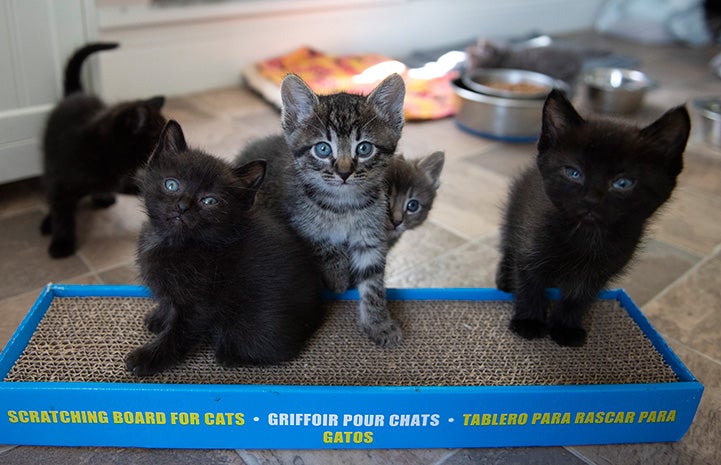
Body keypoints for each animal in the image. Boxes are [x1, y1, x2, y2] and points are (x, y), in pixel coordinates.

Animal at [126, 120, 324, 376]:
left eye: (210, 201)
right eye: (171, 185)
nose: (183, 206)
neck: (171, 241)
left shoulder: (200, 304)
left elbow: (179, 334)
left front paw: (148, 358)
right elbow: (170, 305)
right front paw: (159, 317)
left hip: (252, 326)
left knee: (274, 350)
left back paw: (228, 354)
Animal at [236, 72, 404, 346]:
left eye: (364, 148)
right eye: (323, 149)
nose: (344, 173)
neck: (344, 205)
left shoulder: (370, 236)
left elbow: (372, 281)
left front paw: (378, 323)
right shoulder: (300, 223)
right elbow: (325, 246)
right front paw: (338, 278)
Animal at [496, 89, 692, 344]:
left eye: (623, 183)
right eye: (573, 173)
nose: (591, 200)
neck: (586, 236)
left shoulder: (599, 272)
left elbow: (578, 298)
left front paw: (566, 328)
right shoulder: (531, 245)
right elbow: (530, 284)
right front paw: (529, 322)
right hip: (515, 216)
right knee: (509, 246)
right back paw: (505, 279)